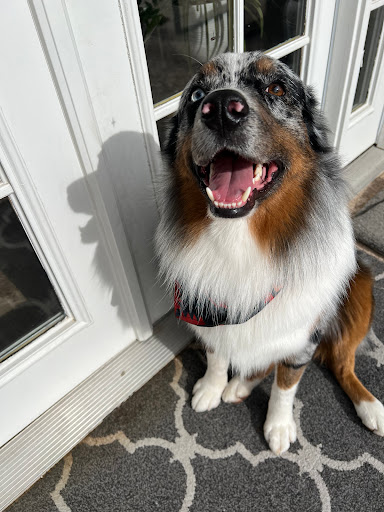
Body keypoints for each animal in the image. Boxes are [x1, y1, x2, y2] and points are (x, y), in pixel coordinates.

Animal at [154, 50, 384, 454]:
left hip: (360, 290)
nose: (221, 108)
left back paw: (371, 407)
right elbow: (217, 354)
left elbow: (285, 384)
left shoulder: (302, 336)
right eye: (197, 95)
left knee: (342, 364)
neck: (239, 238)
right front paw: (212, 386)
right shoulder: (211, 306)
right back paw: (237, 386)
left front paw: (278, 425)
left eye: (276, 88)